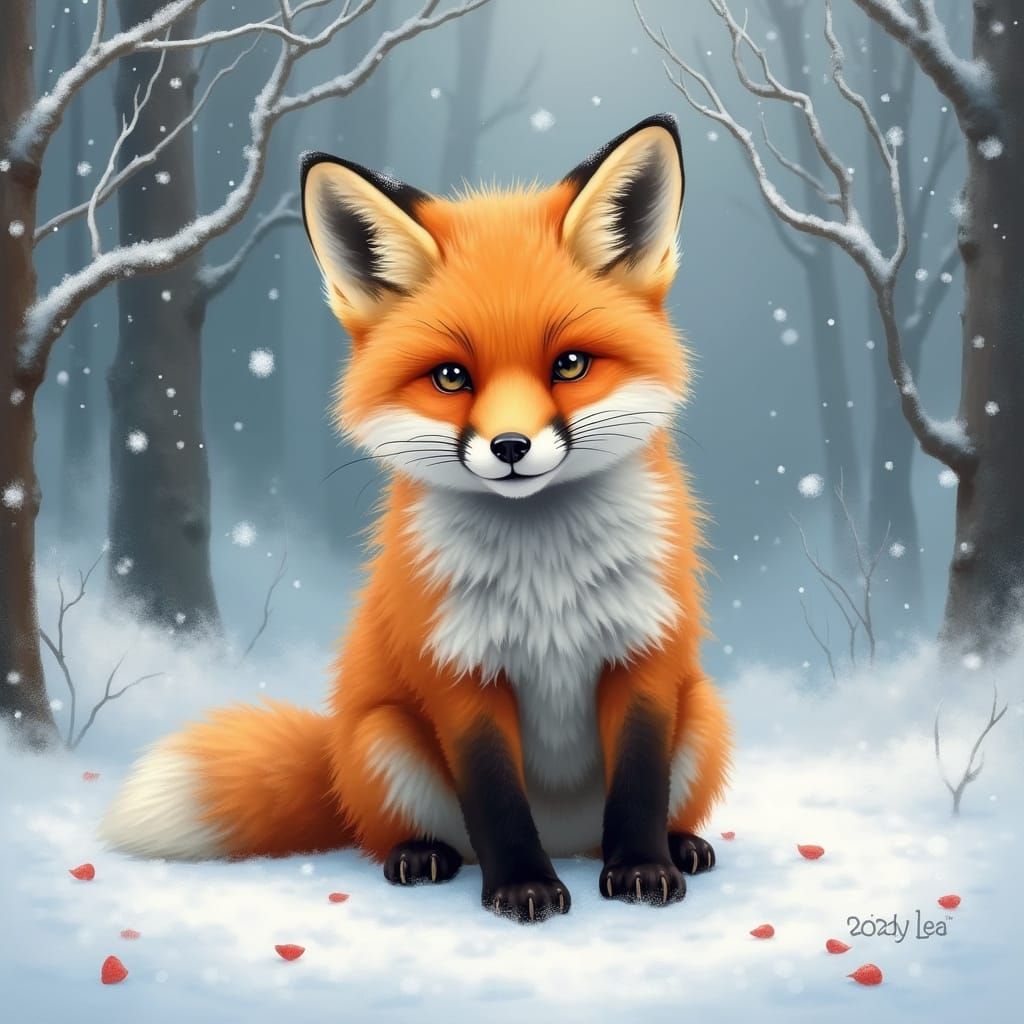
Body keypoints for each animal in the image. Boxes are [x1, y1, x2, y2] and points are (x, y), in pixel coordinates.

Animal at [100, 113, 731, 923]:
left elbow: (641, 786)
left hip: (705, 711)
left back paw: (683, 844)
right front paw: (522, 889)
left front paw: (645, 869)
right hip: (383, 735)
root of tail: (569, 837)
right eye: (451, 377)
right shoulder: (457, 671)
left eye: (569, 365)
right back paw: (420, 856)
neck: (545, 576)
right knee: (399, 833)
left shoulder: (645, 658)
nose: (510, 447)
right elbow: (494, 798)